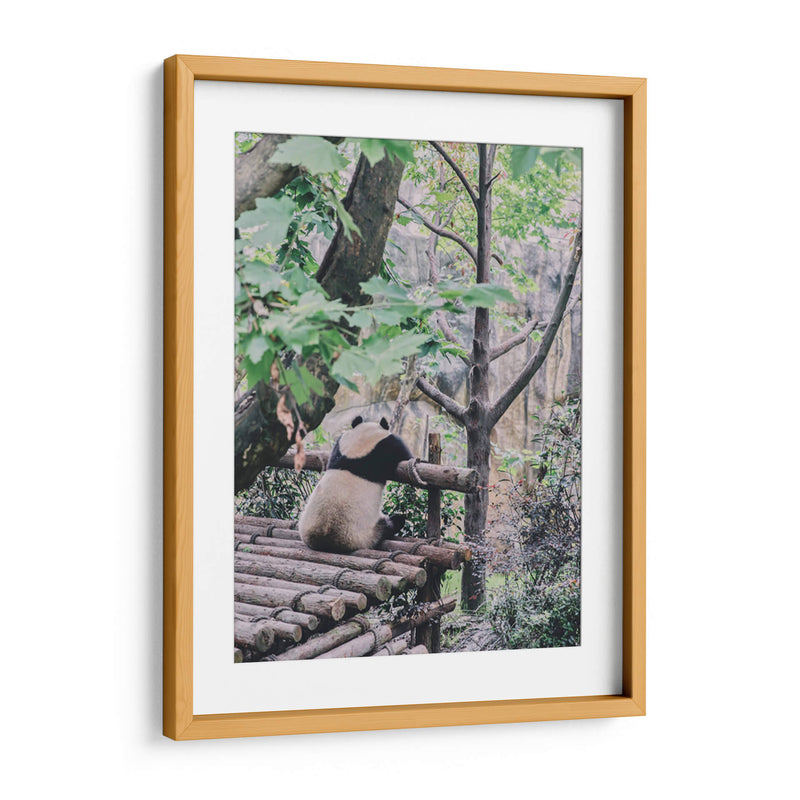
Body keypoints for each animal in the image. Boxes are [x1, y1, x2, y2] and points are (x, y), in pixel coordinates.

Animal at [298, 416, 412, 554]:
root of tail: (324, 540)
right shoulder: (386, 446)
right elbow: (404, 453)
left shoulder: (339, 446)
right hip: (365, 534)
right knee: (390, 525)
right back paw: (396, 521)